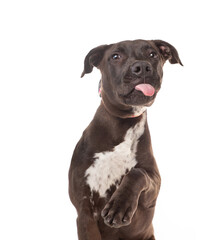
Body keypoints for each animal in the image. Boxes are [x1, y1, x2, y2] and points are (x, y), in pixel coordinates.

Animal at [69, 39, 183, 240]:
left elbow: (137, 173)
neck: (122, 125)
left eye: (152, 54)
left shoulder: (152, 187)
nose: (142, 67)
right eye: (115, 56)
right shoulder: (84, 211)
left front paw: (119, 206)